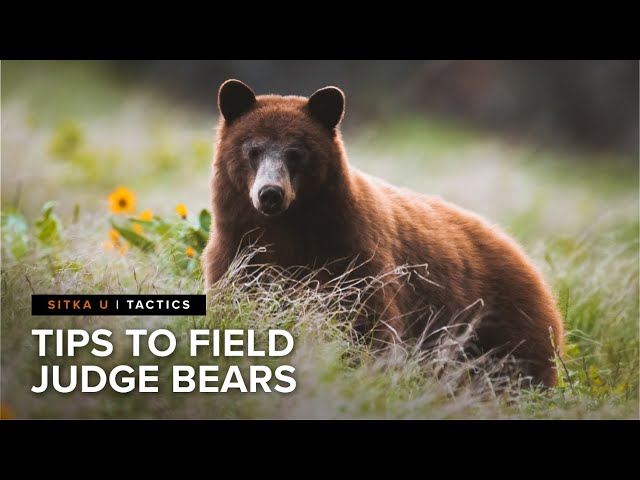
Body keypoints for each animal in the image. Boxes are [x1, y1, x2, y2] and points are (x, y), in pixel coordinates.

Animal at [203, 79, 565, 388]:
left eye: (296, 152)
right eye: (253, 149)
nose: (270, 193)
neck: (287, 229)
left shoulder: (353, 255)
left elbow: (367, 321)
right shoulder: (238, 250)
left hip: (504, 324)